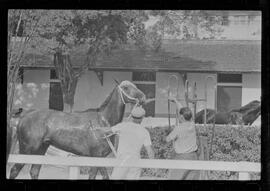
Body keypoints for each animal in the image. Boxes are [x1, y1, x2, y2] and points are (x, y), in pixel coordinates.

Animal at [8, 80, 146, 179]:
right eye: (126, 87)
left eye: (135, 85)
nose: (143, 97)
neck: (103, 122)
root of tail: (25, 116)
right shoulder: (97, 156)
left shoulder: (97, 159)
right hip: (27, 150)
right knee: (14, 170)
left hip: (41, 150)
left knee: (34, 172)